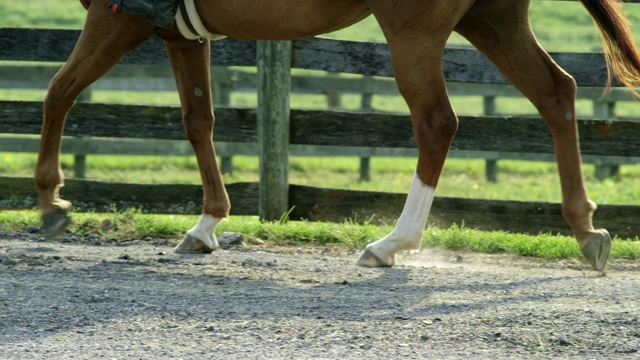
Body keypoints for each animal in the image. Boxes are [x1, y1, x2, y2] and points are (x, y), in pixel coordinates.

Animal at [36, 0, 640, 270]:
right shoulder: (181, 35)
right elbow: (198, 121)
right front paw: (207, 223)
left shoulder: (117, 17)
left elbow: (58, 93)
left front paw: (50, 200)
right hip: (493, 17)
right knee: (556, 93)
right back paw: (585, 228)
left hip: (414, 31)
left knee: (436, 123)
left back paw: (394, 241)